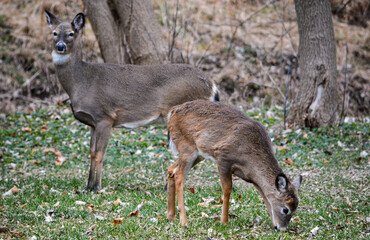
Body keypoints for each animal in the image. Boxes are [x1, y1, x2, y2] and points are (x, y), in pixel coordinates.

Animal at [45, 10, 220, 191]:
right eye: (54, 33)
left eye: (71, 33)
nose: (60, 47)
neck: (82, 82)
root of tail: (211, 84)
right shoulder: (93, 123)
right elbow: (92, 153)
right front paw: (87, 187)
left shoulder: (105, 116)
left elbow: (100, 154)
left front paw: (97, 187)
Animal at [166, 99, 302, 231]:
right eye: (285, 209)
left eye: (295, 209)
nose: (281, 228)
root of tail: (171, 112)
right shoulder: (223, 157)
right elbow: (227, 189)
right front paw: (224, 221)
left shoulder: (251, 177)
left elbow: (265, 195)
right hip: (186, 147)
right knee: (179, 176)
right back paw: (184, 221)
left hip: (198, 154)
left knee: (171, 169)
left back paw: (170, 216)